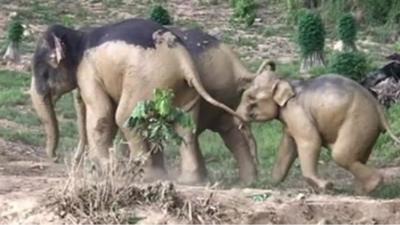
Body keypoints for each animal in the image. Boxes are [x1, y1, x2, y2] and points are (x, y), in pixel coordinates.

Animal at [29, 18, 242, 178]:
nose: (55, 158)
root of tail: (182, 58)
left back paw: (146, 175)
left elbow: (103, 114)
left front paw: (106, 170)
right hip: (181, 87)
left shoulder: (88, 71)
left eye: (43, 72)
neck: (78, 36)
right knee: (186, 126)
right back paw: (189, 181)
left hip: (146, 80)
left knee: (125, 117)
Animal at [236, 66, 400, 193]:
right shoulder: (289, 120)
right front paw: (271, 183)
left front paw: (325, 186)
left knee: (340, 155)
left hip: (359, 120)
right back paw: (362, 191)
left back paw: (372, 185)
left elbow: (310, 141)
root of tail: (379, 108)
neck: (287, 81)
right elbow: (287, 147)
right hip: (367, 128)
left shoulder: (295, 111)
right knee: (356, 156)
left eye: (251, 98)